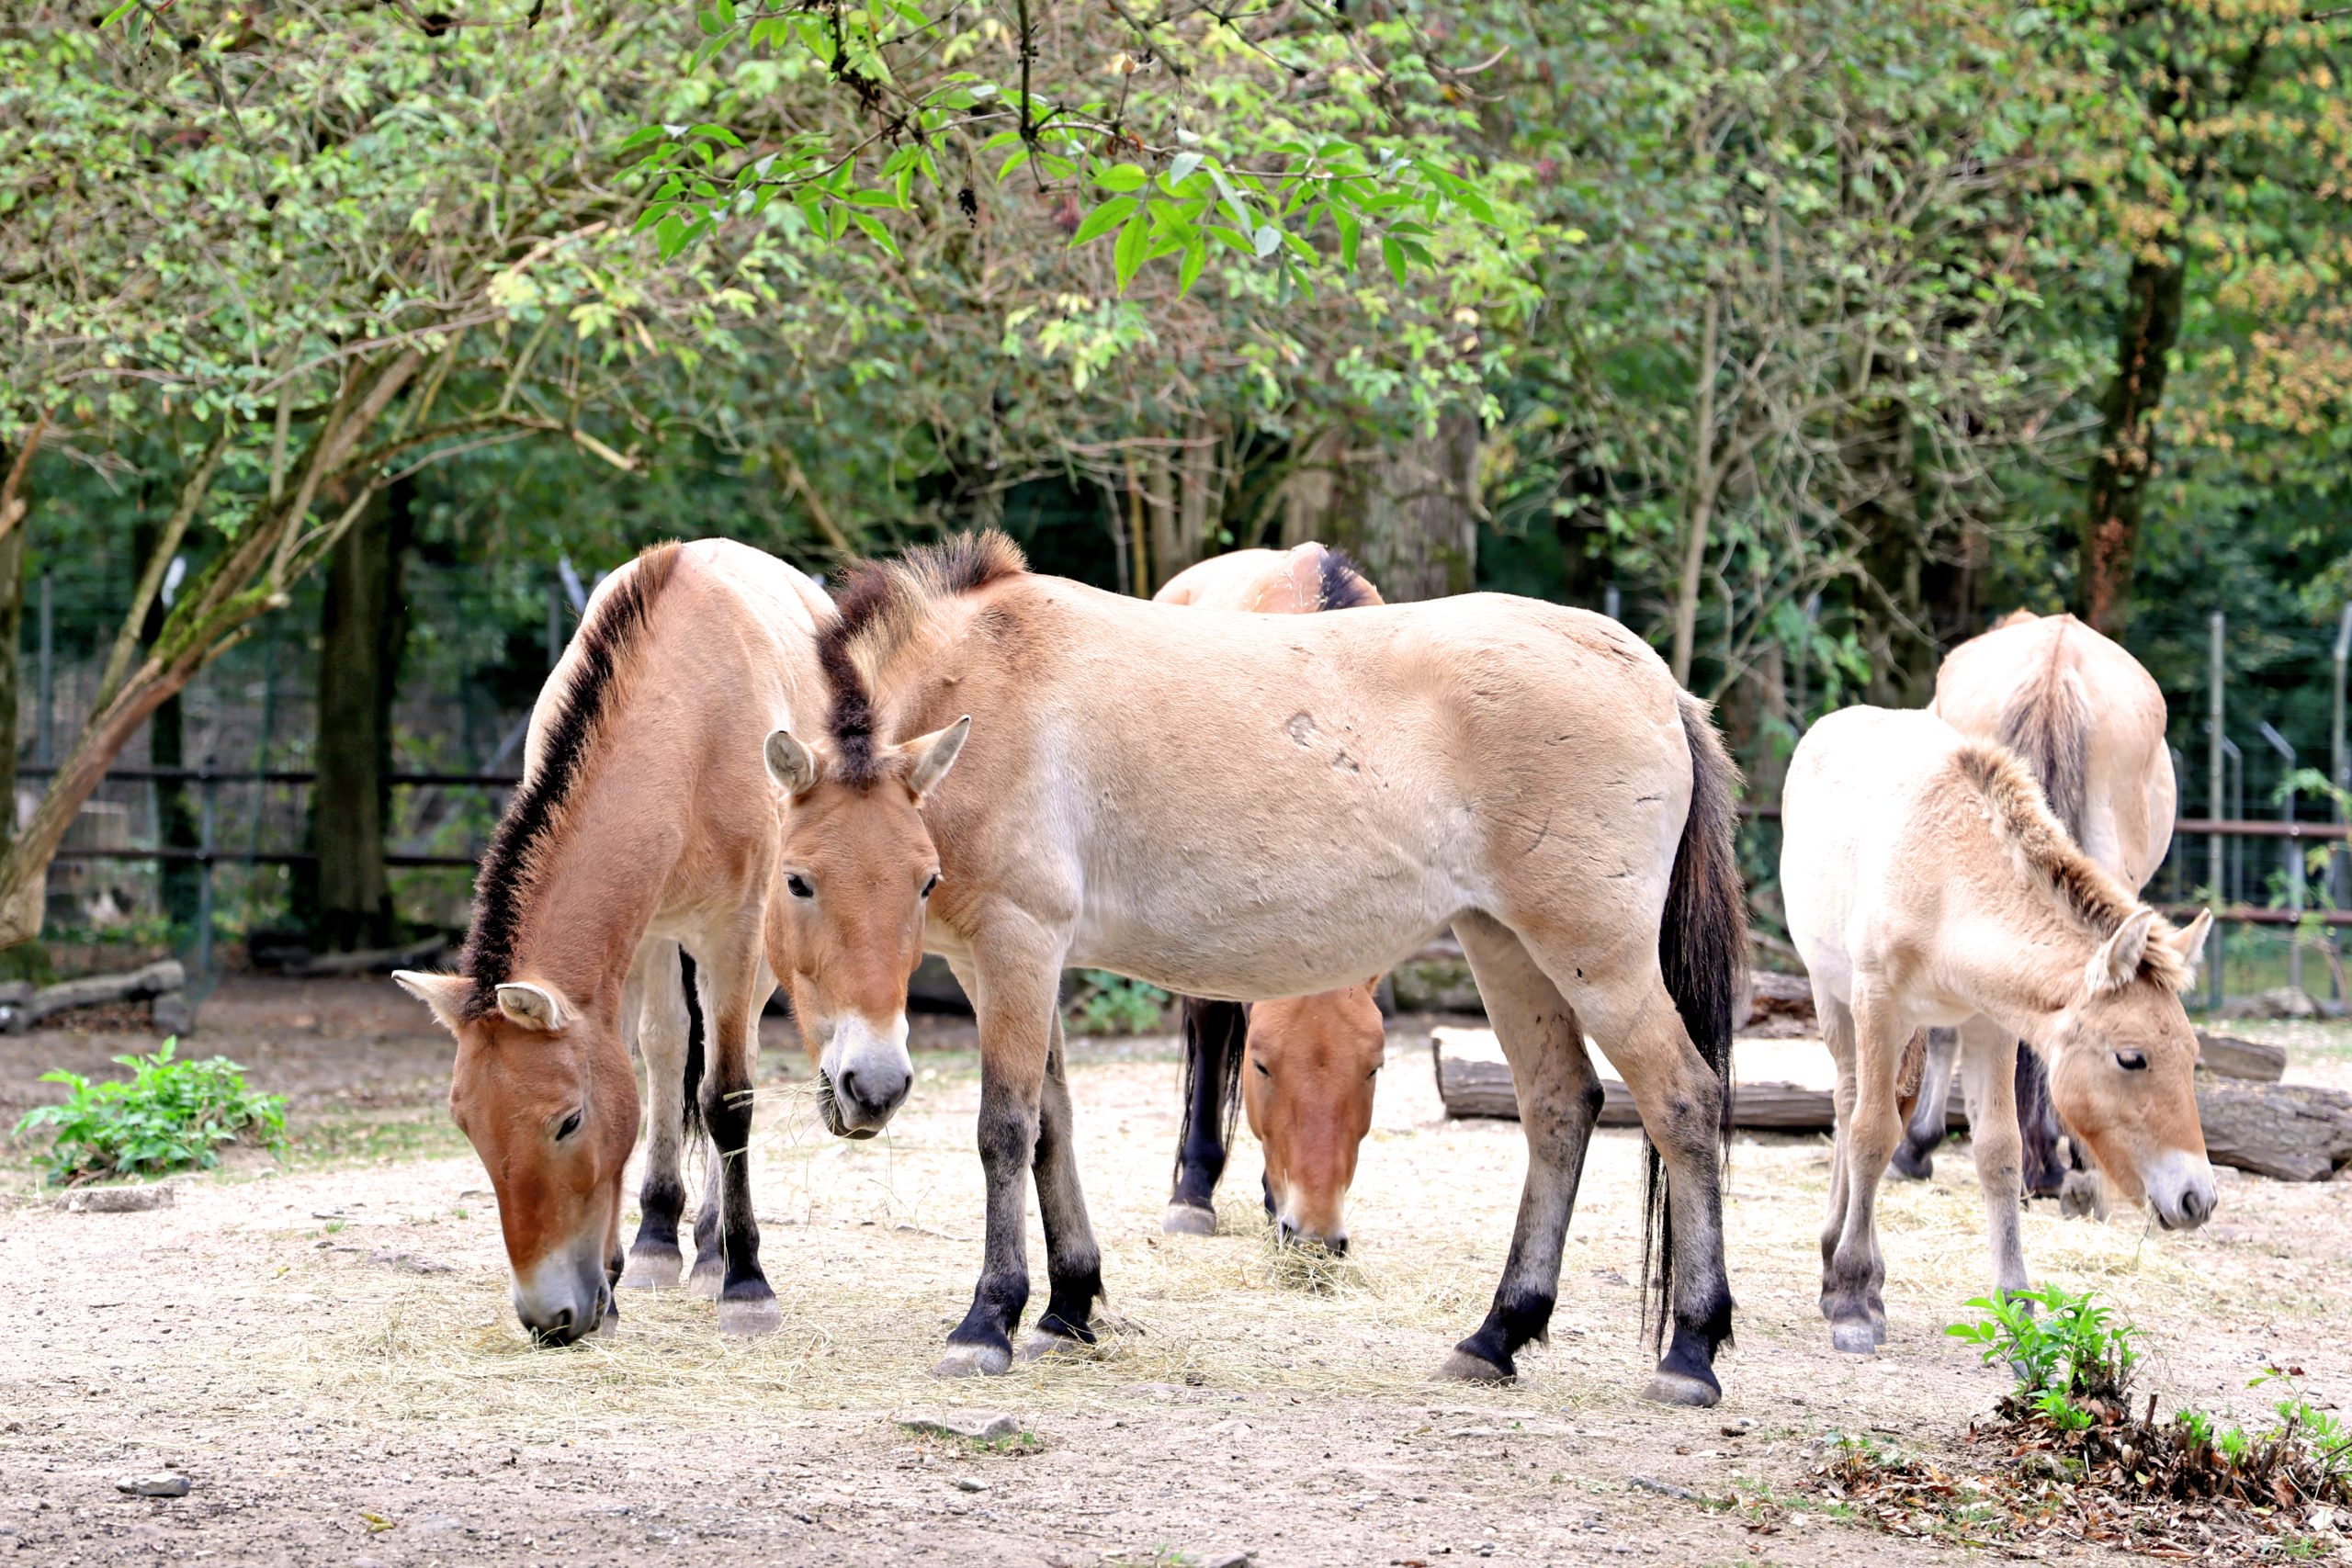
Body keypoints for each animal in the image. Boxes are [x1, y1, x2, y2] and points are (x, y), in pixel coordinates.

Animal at [392, 539, 832, 1344]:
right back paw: (664, 1239)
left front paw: (747, 1285)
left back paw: (717, 1250)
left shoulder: (734, 925)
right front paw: (624, 1277)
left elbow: (728, 1097)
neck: (684, 718)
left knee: (732, 1061)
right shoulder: (631, 940)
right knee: (668, 1048)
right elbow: (647, 1063)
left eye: (567, 1120)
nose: (548, 1315)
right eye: (467, 1126)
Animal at [1781, 705, 2214, 1353]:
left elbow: (1999, 1153)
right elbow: (1871, 1136)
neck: (1947, 881)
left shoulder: (1991, 1024)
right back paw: (1841, 1266)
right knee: (1850, 1104)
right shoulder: (1878, 1005)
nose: (2197, 1198)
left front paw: (2018, 1307)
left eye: (2191, 1056)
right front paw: (1853, 1301)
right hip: (1834, 999)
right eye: (2131, 1058)